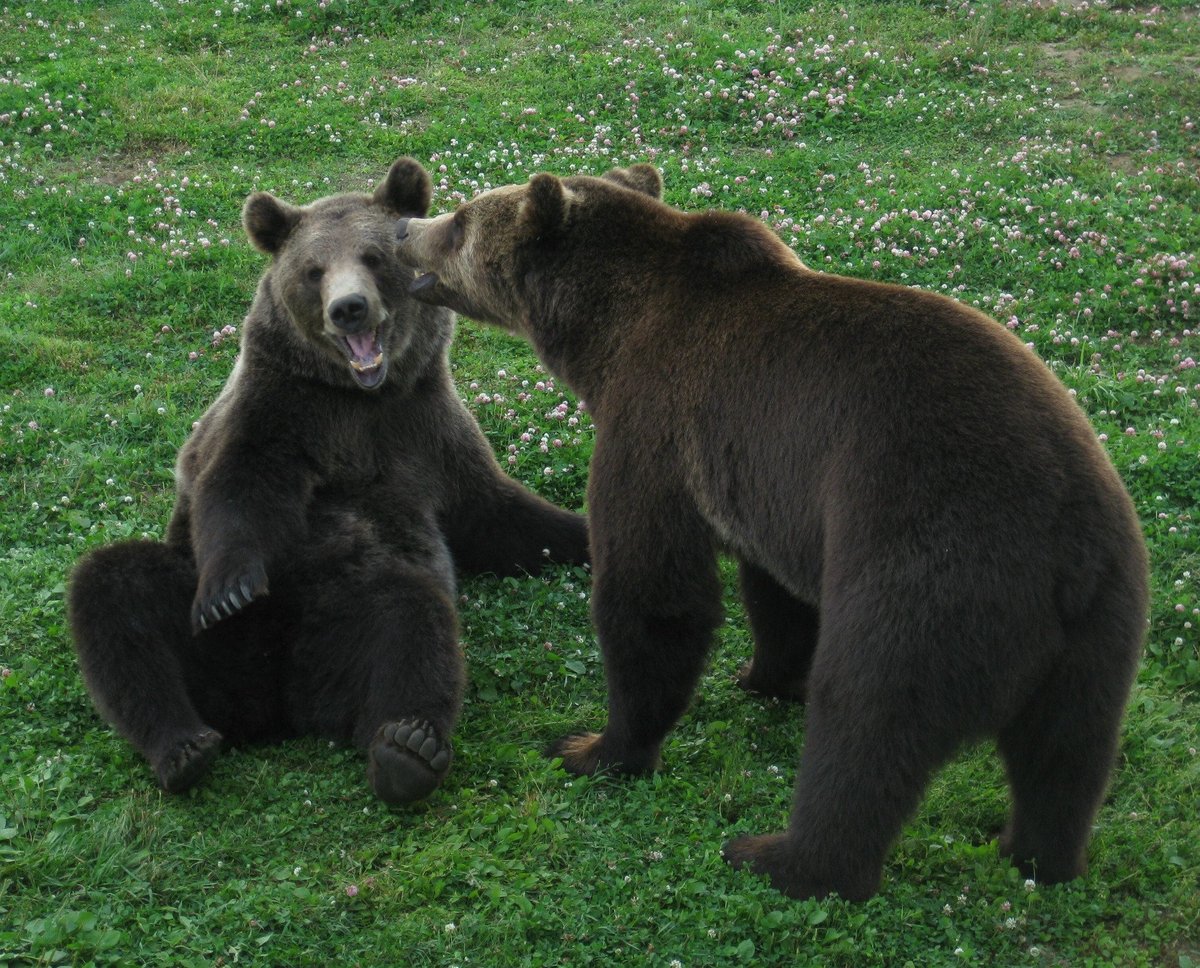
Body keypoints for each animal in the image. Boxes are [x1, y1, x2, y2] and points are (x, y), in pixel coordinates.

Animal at [68, 159, 588, 806]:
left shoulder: (425, 432)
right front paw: (231, 588)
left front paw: (588, 535)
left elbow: (501, 516)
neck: (359, 396)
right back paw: (182, 746)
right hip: (210, 642)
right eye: (313, 270)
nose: (349, 308)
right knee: (115, 594)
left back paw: (406, 748)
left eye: (374, 256)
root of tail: (276, 708)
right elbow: (236, 489)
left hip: (346, 619)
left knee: (410, 619)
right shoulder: (281, 412)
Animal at [391, 164, 1142, 902]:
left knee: (868, 718)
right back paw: (1036, 852)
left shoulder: (656, 423)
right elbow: (776, 592)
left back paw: (782, 857)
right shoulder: (770, 485)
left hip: (932, 562)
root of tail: (1062, 545)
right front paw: (762, 673)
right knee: (1068, 751)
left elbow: (654, 593)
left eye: (461, 220)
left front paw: (597, 747)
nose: (405, 231)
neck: (606, 335)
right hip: (1105, 617)